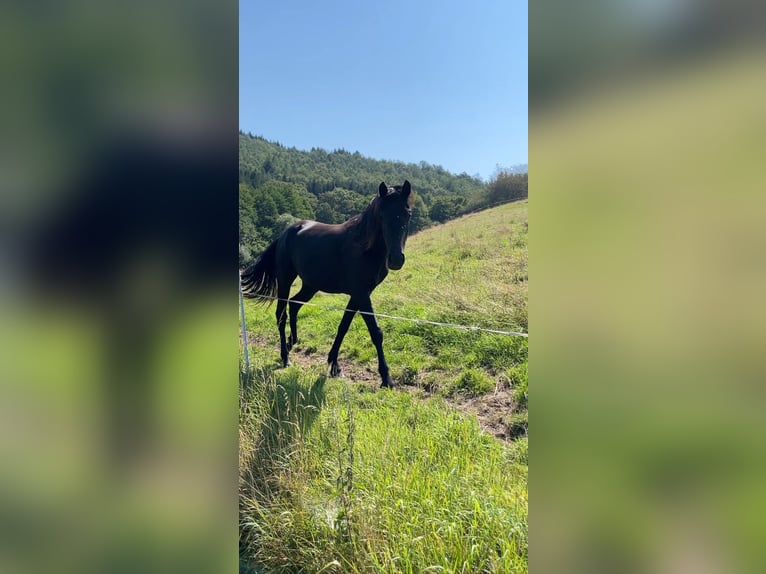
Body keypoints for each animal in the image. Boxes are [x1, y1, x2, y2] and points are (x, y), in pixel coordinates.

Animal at [244, 182, 414, 390]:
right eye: (382, 215)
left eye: (408, 213)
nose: (396, 259)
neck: (363, 246)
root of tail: (285, 233)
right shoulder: (361, 294)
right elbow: (376, 332)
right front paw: (386, 378)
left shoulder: (359, 294)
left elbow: (343, 327)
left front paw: (334, 365)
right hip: (285, 280)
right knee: (281, 314)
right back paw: (285, 357)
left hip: (310, 285)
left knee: (294, 304)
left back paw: (293, 342)